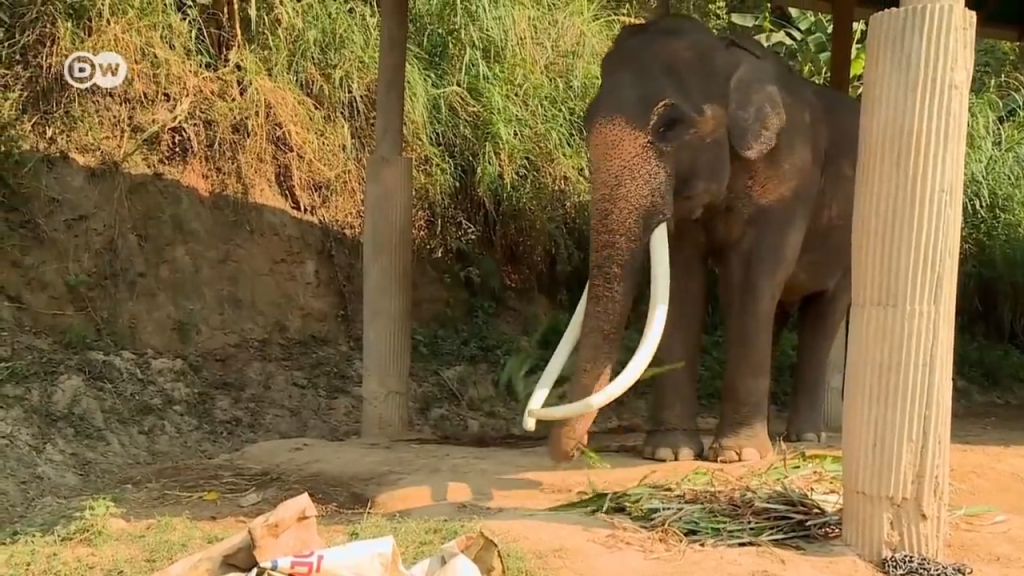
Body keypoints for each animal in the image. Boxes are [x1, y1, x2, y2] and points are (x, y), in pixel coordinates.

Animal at [524, 14, 860, 461]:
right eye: (585, 122)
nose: (573, 452)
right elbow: (682, 284)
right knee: (778, 312)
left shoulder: (788, 182)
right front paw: (670, 452)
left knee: (823, 311)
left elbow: (751, 278)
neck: (729, 57)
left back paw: (804, 437)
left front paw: (739, 457)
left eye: (670, 126)